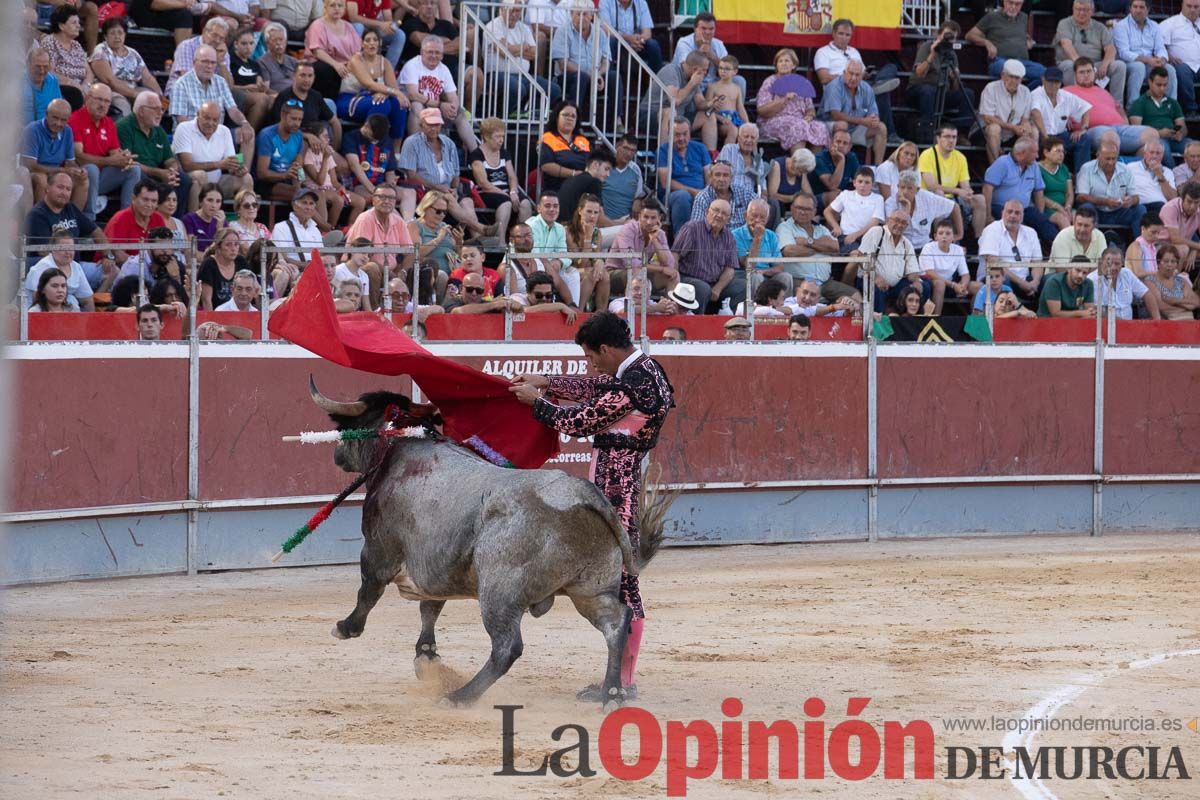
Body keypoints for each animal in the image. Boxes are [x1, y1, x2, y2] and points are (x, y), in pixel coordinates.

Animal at [309, 381, 672, 705]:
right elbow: (430, 609)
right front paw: (427, 657)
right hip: (590, 588)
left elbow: (369, 590)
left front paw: (346, 627)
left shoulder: (377, 549)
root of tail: (580, 493)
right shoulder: (436, 567)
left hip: (500, 592)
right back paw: (610, 693)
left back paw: (460, 697)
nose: (337, 455)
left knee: (507, 647)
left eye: (347, 426)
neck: (399, 447)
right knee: (617, 623)